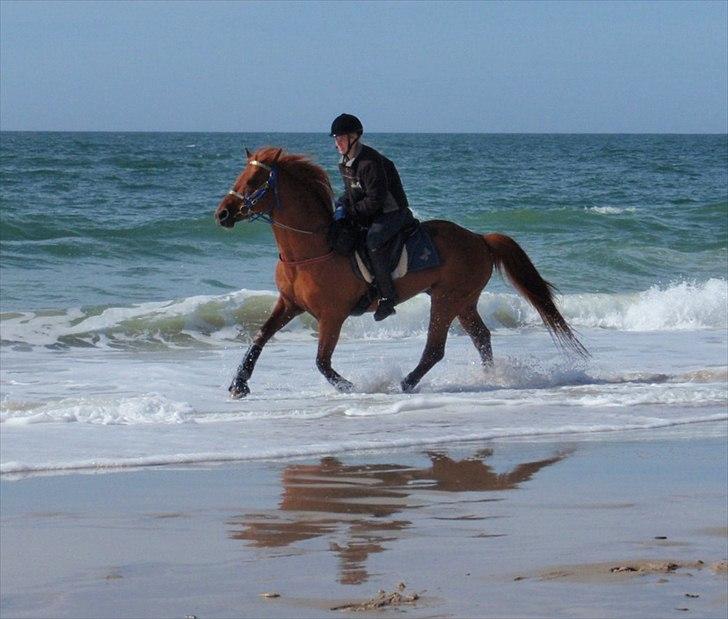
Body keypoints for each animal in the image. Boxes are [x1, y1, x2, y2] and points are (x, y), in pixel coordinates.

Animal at [212, 146, 584, 400]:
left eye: (255, 180)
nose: (222, 214)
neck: (311, 249)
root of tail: (480, 238)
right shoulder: (289, 304)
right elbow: (260, 337)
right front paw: (238, 384)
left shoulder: (332, 316)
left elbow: (321, 361)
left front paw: (351, 386)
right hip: (463, 301)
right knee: (481, 338)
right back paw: (491, 379)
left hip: (447, 300)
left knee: (436, 349)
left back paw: (405, 383)